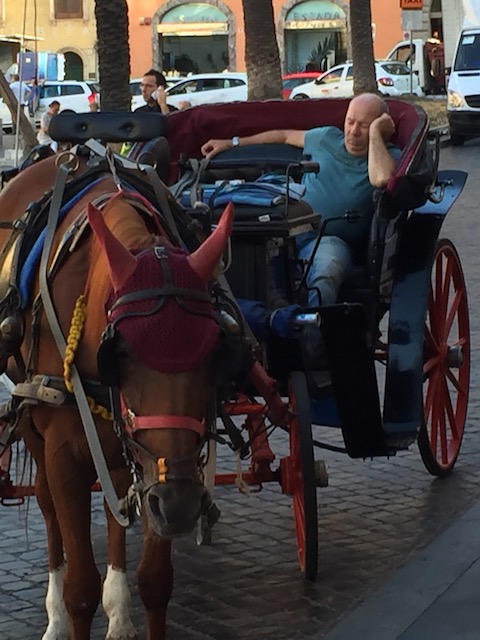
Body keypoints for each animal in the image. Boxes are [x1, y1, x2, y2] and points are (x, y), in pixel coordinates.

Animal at [0, 151, 234, 640]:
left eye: (214, 351)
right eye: (119, 353)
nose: (180, 506)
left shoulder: (157, 464)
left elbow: (156, 582)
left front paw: (126, 602)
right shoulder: (66, 456)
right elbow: (81, 589)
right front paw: (72, 607)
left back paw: (120, 614)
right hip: (33, 424)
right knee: (47, 508)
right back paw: (54, 617)